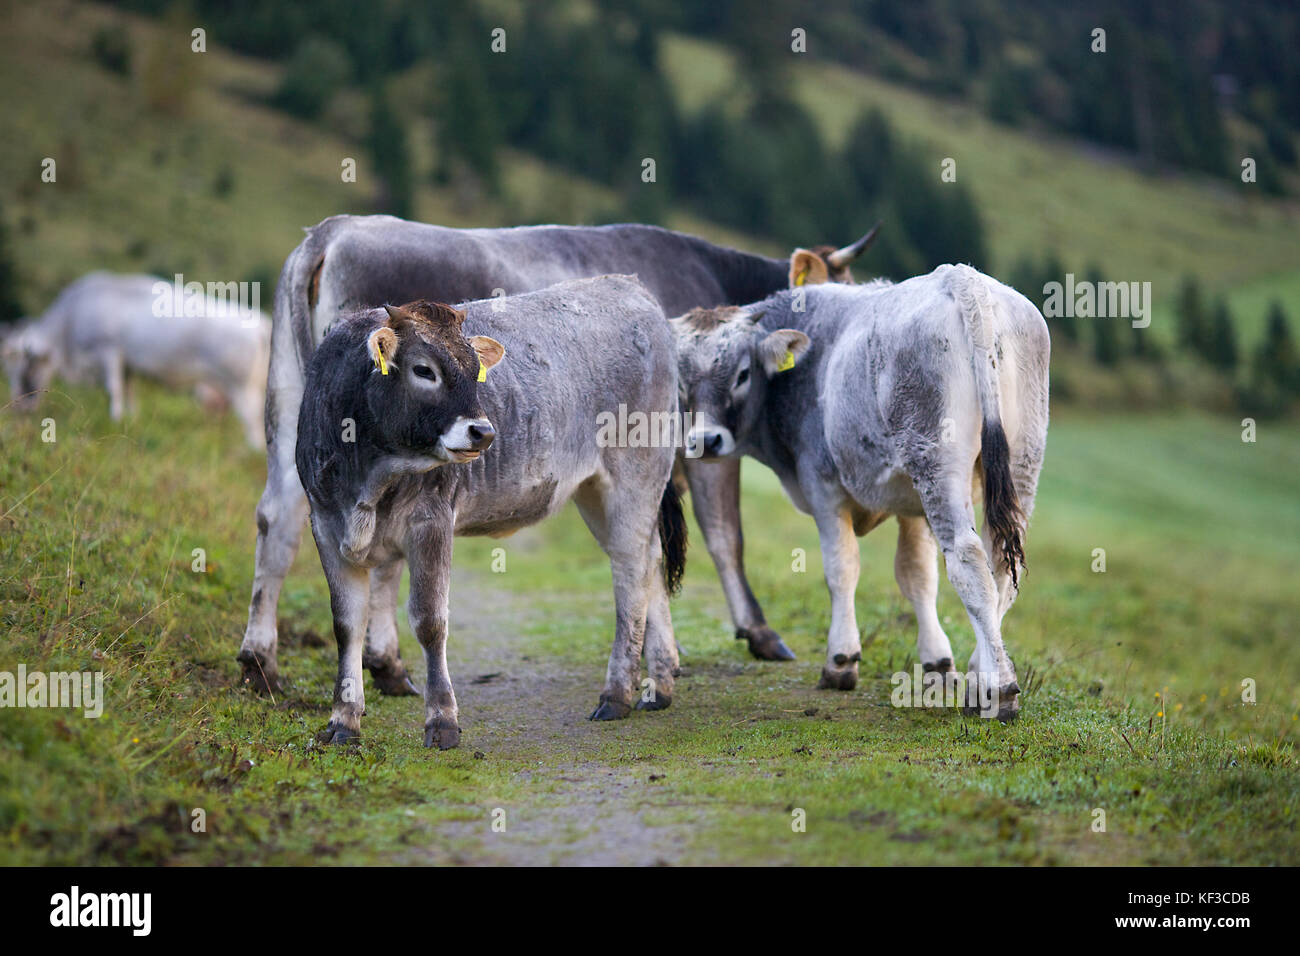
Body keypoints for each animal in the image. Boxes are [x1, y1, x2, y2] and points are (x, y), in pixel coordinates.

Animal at [1, 269, 271, 447]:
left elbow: (114, 389)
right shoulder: (127, 364)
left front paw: (115, 417)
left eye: (25, 368)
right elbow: (129, 391)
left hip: (241, 388)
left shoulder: (108, 350)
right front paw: (130, 418)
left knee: (253, 421)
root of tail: (262, 324)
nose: (19, 408)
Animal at [239, 214, 878, 697]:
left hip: (291, 405)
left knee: (277, 517)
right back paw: (386, 664)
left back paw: (261, 661)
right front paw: (757, 633)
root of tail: (332, 231)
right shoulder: (704, 441)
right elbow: (724, 536)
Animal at [292, 277, 681, 749]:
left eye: (475, 368)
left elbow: (429, 620)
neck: (369, 474)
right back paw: (659, 684)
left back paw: (617, 693)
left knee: (630, 573)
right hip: (597, 494)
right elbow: (347, 624)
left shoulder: (431, 521)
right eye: (424, 370)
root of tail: (628, 285)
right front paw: (343, 720)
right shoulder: (326, 526)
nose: (482, 431)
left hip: (635, 478)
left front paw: (441, 720)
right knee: (650, 560)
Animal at [670, 265, 1045, 723]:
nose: (705, 441)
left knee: (969, 561)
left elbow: (841, 569)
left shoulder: (823, 487)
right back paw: (984, 672)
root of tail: (963, 279)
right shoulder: (912, 507)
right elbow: (918, 576)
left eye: (742, 374)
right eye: (680, 381)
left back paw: (997, 688)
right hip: (1021, 463)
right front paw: (939, 663)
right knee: (1002, 563)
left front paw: (841, 660)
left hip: (939, 466)